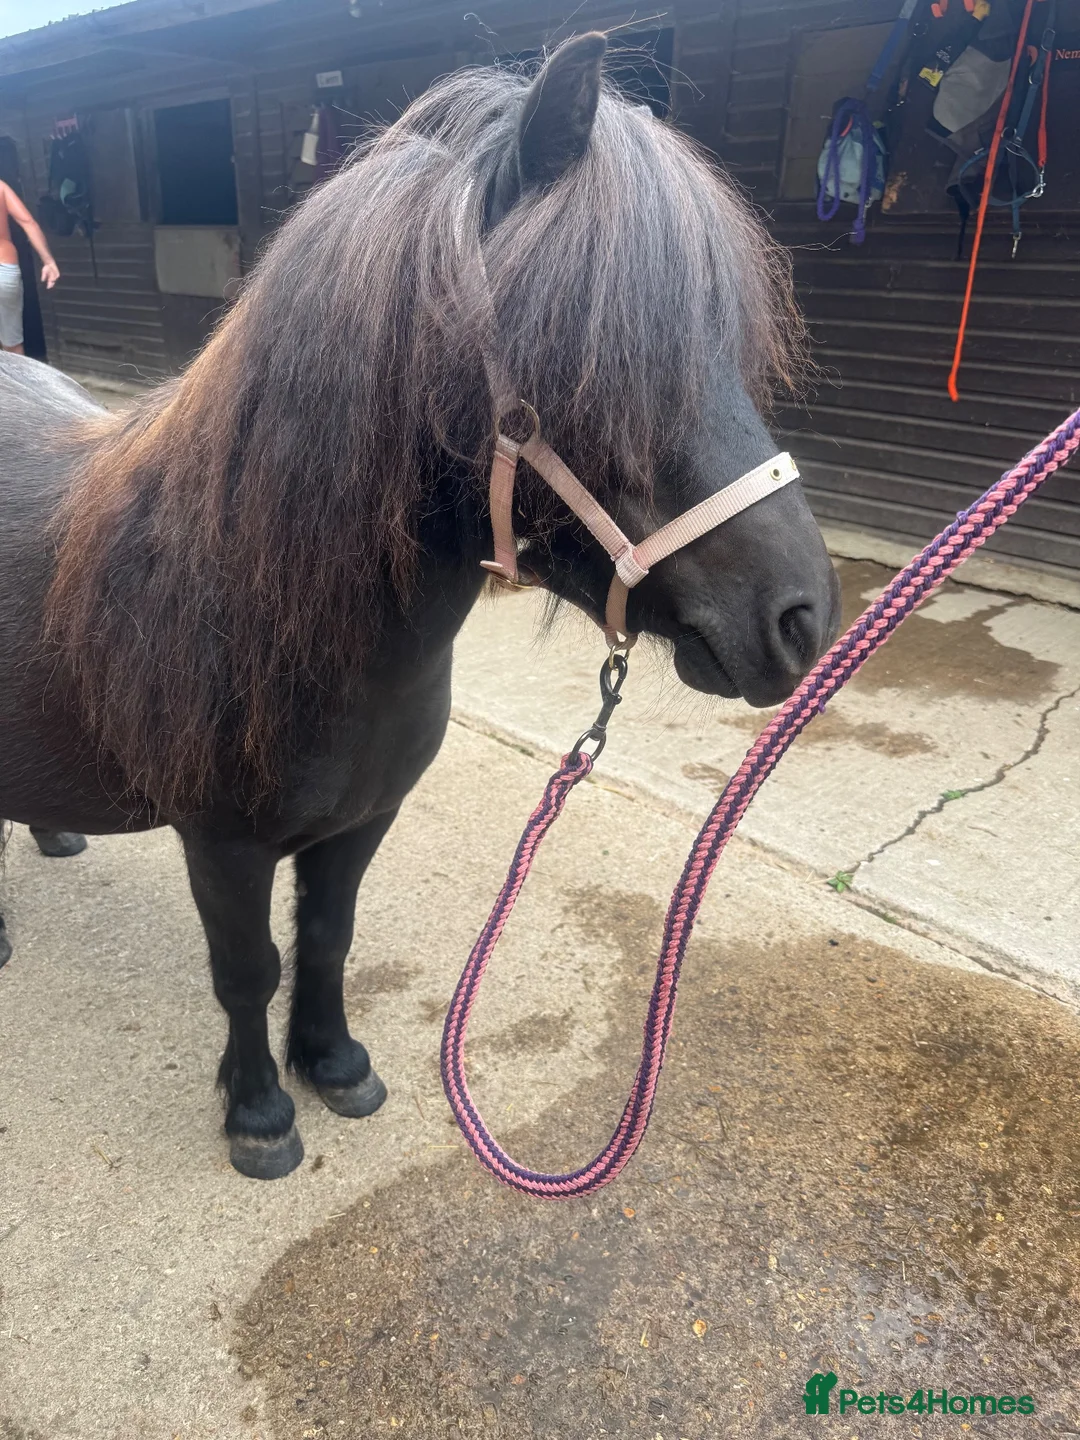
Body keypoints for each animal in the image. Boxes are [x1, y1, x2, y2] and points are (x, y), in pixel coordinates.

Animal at [0, 34, 840, 1178]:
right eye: (593, 361)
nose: (804, 618)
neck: (271, 615)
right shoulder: (220, 842)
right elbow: (247, 969)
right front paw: (260, 1115)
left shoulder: (361, 822)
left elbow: (327, 940)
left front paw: (335, 1065)